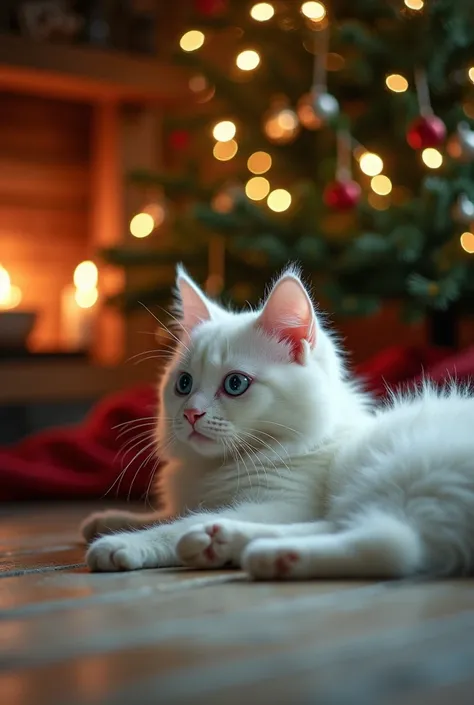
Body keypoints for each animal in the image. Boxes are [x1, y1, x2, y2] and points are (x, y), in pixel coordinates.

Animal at [81, 266, 474, 580]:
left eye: (235, 384)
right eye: (184, 384)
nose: (191, 413)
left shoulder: (288, 502)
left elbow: (175, 524)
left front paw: (125, 543)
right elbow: (169, 514)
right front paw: (110, 519)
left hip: (396, 470)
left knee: (392, 545)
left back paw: (261, 552)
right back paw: (222, 540)